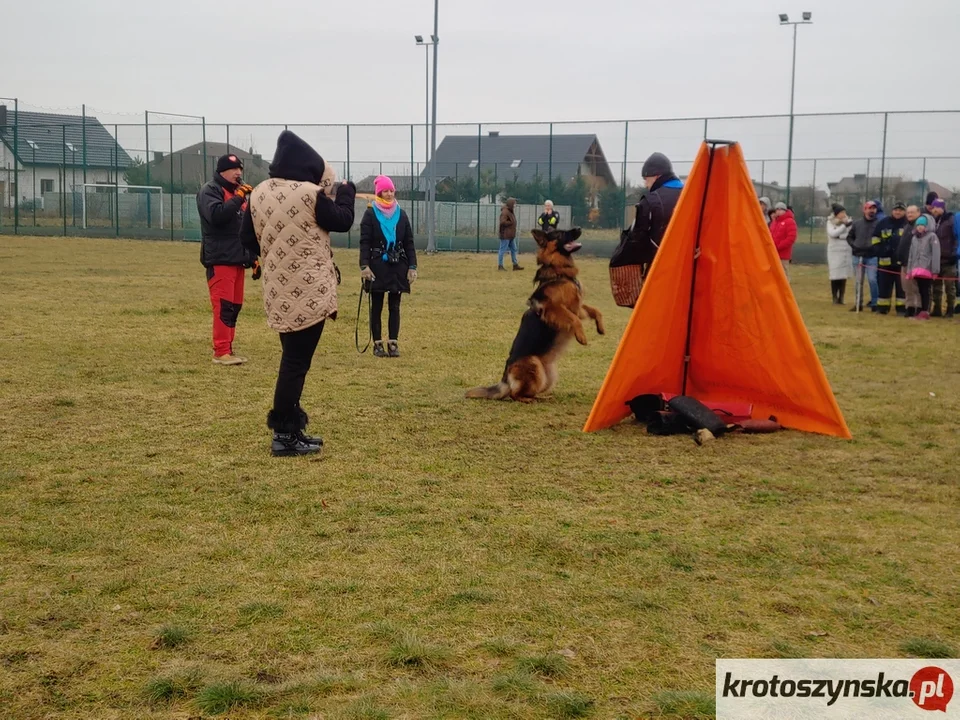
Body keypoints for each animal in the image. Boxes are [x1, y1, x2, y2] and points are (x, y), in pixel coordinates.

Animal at [466, 228, 608, 402]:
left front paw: (600, 328)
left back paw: (542, 397)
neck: (559, 272)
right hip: (534, 364)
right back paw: (529, 399)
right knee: (514, 394)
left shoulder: (577, 307)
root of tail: (505, 379)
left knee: (529, 391)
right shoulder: (552, 308)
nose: (580, 228)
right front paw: (582, 337)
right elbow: (574, 319)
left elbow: (595, 310)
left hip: (548, 376)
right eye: (560, 233)